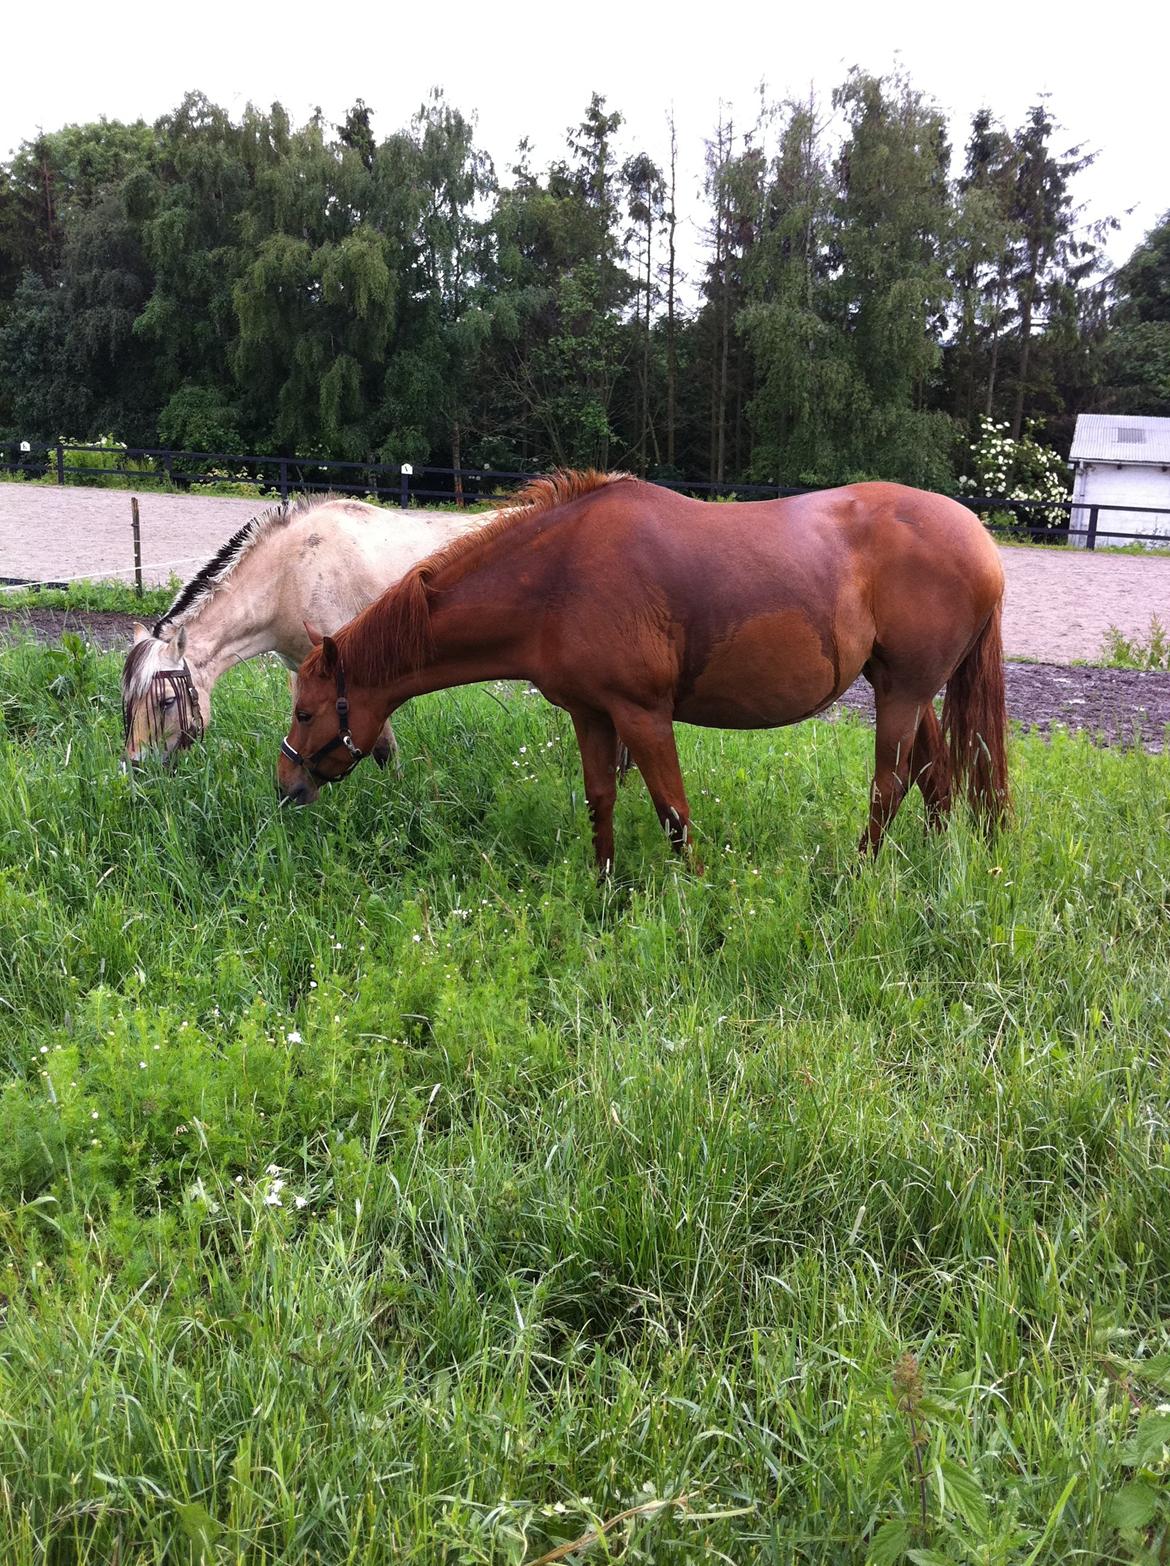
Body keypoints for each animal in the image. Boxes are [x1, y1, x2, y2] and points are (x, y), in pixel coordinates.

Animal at [277, 469, 1008, 876]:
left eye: (306, 711)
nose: (286, 785)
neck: (559, 578)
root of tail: (981, 540)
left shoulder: (644, 716)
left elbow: (674, 813)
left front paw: (698, 894)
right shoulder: (592, 714)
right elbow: (600, 800)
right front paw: (603, 890)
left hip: (904, 693)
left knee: (890, 788)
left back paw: (856, 876)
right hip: (903, 689)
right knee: (935, 779)